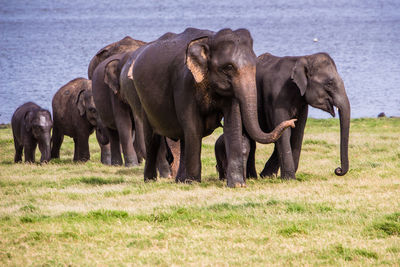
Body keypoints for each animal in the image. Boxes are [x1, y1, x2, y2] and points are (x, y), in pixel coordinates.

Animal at [123, 26, 296, 186]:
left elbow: (233, 123)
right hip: (143, 101)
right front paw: (194, 182)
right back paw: (151, 180)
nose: (292, 122)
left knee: (183, 138)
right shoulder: (184, 84)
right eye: (228, 67)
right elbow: (193, 126)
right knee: (152, 138)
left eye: (255, 65)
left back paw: (180, 181)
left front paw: (237, 185)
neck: (210, 39)